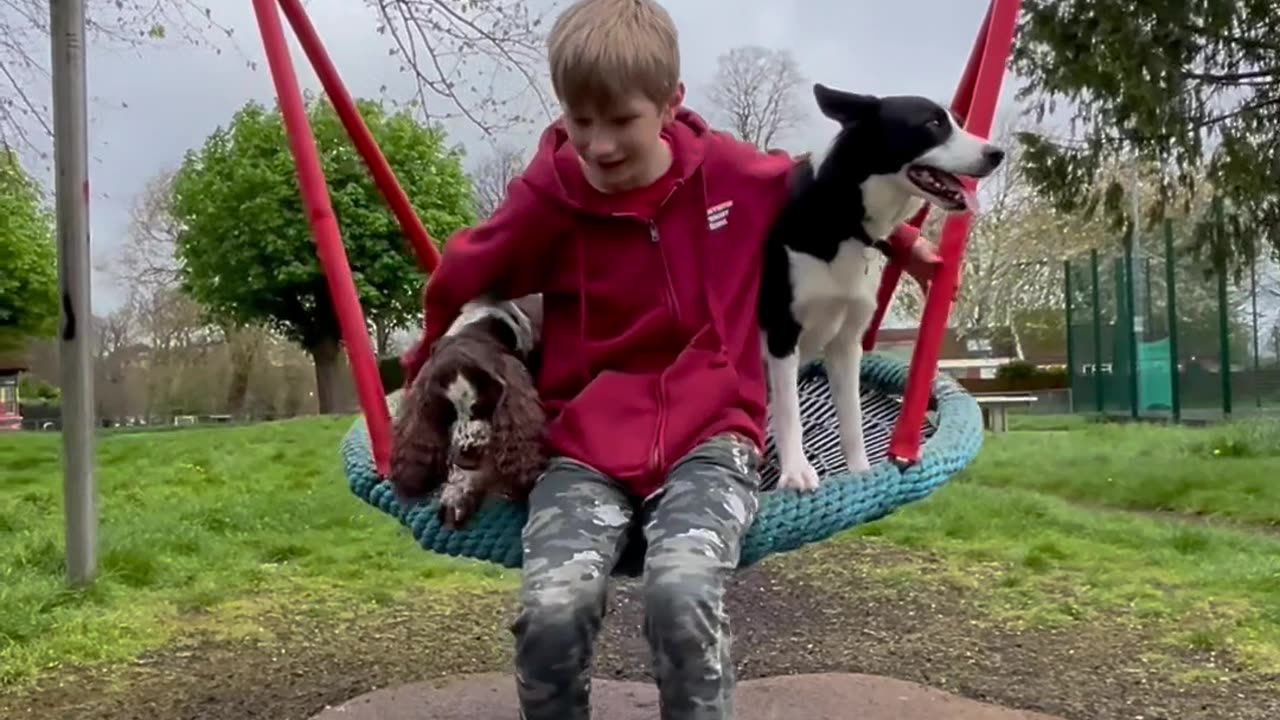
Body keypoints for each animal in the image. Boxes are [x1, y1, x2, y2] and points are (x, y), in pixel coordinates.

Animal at [752, 82, 1003, 486]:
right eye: (933, 123)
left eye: (957, 121)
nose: (997, 153)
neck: (842, 214)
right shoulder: (781, 333)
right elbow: (791, 412)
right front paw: (796, 472)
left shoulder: (846, 343)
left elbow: (852, 420)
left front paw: (860, 472)